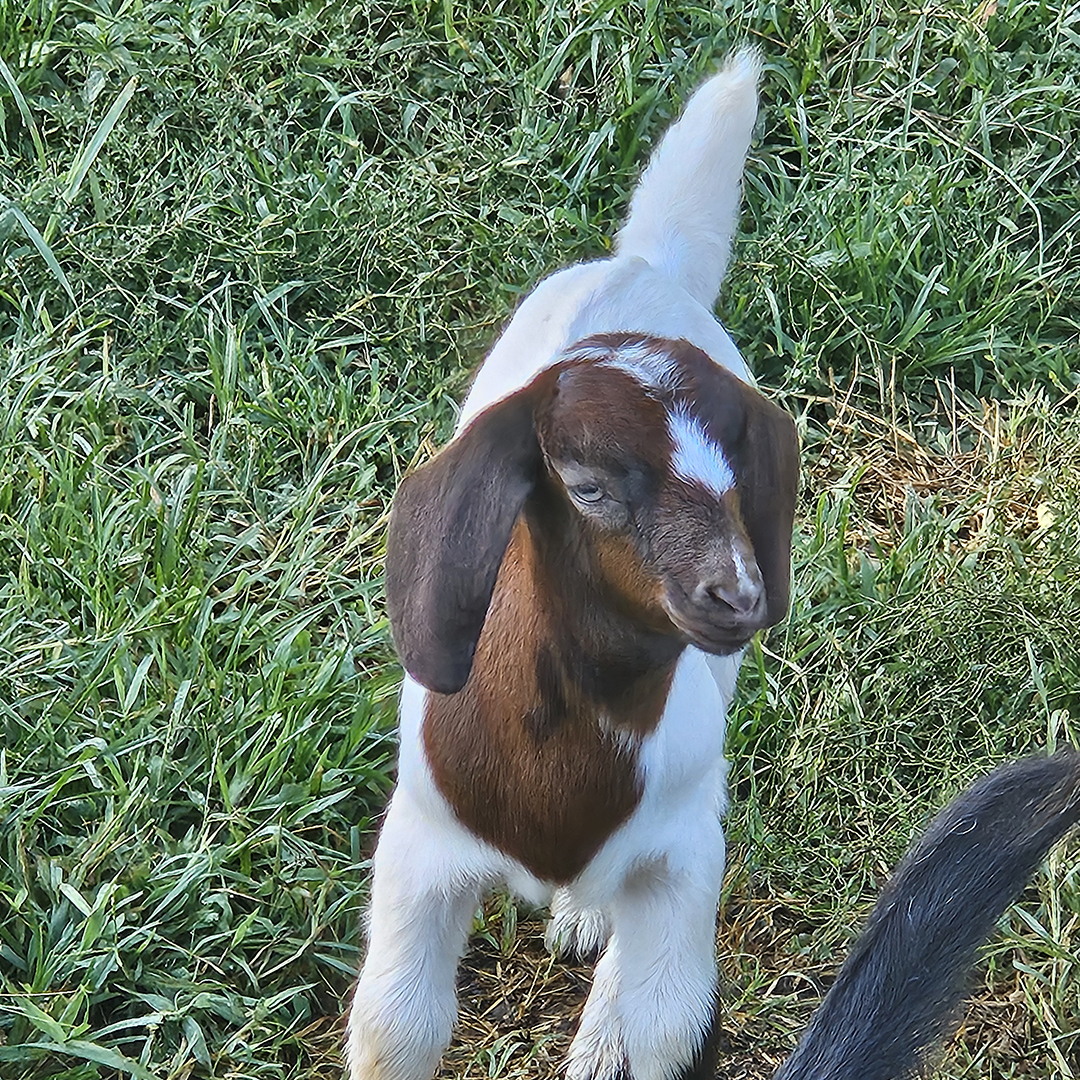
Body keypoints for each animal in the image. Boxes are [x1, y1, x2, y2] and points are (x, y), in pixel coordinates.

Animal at [349, 50, 799, 1080]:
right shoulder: (421, 847)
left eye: (743, 475)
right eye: (588, 486)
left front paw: (613, 1038)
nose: (738, 594)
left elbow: (671, 1022)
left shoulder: (683, 848)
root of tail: (649, 264)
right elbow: (396, 1027)